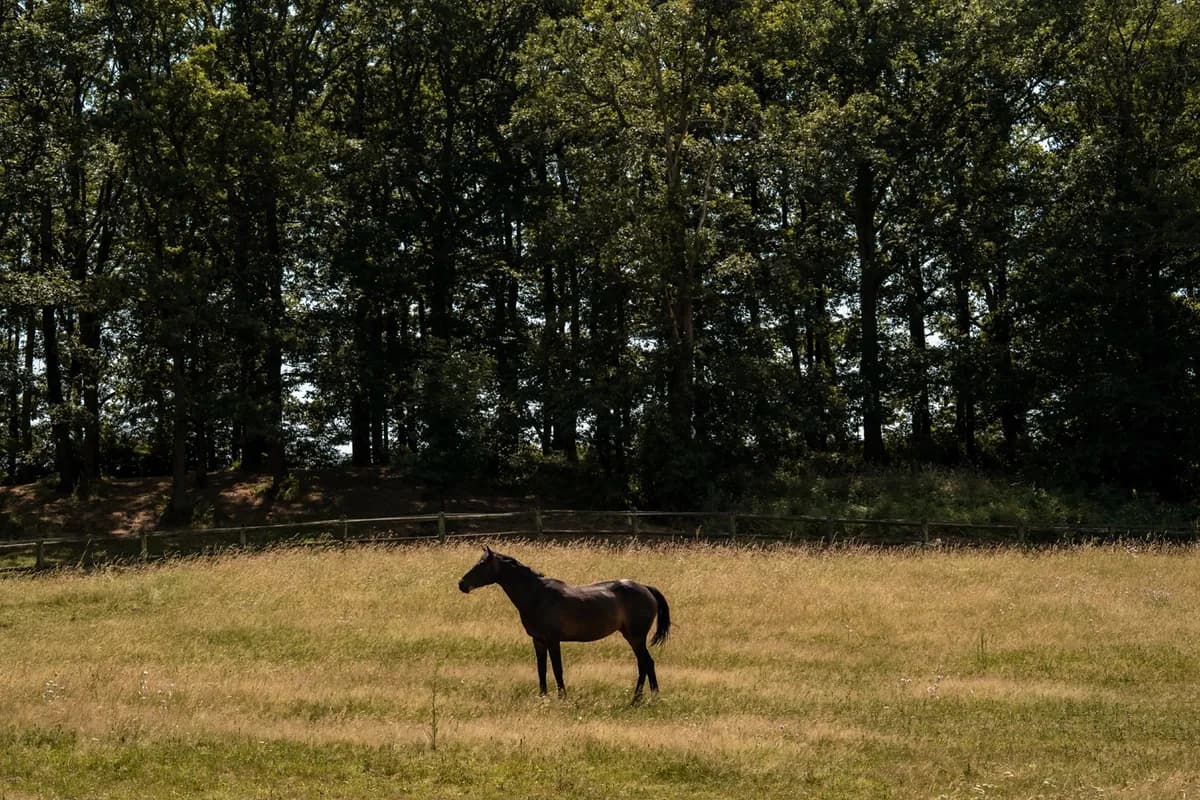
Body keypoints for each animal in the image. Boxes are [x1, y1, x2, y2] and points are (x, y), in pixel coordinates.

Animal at [458, 546, 671, 703]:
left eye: (481, 565)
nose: (461, 584)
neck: (537, 596)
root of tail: (645, 588)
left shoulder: (553, 640)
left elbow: (557, 669)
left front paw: (562, 697)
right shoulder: (538, 640)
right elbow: (541, 669)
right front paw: (542, 696)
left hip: (636, 637)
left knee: (646, 663)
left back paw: (642, 698)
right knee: (644, 663)